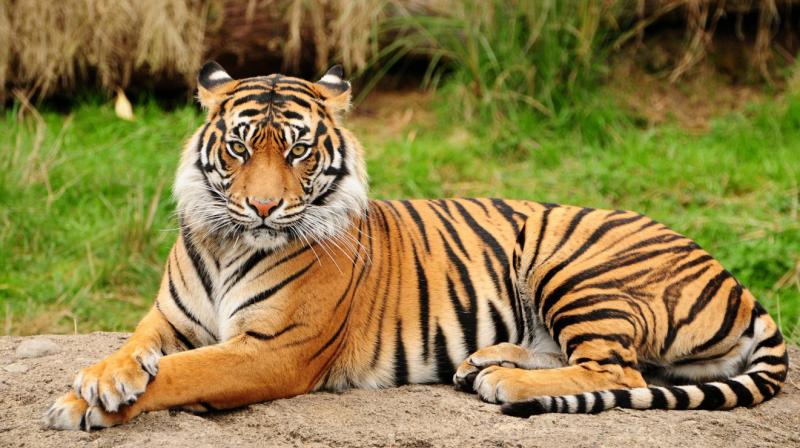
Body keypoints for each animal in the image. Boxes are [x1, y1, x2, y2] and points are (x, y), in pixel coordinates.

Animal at [43, 61, 788, 428]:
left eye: (298, 151)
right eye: (239, 147)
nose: (262, 206)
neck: (229, 243)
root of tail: (736, 280)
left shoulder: (273, 350)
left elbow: (184, 373)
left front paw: (84, 405)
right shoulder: (168, 318)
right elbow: (135, 350)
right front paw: (99, 380)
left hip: (574, 265)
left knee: (621, 372)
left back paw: (504, 380)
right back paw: (484, 361)